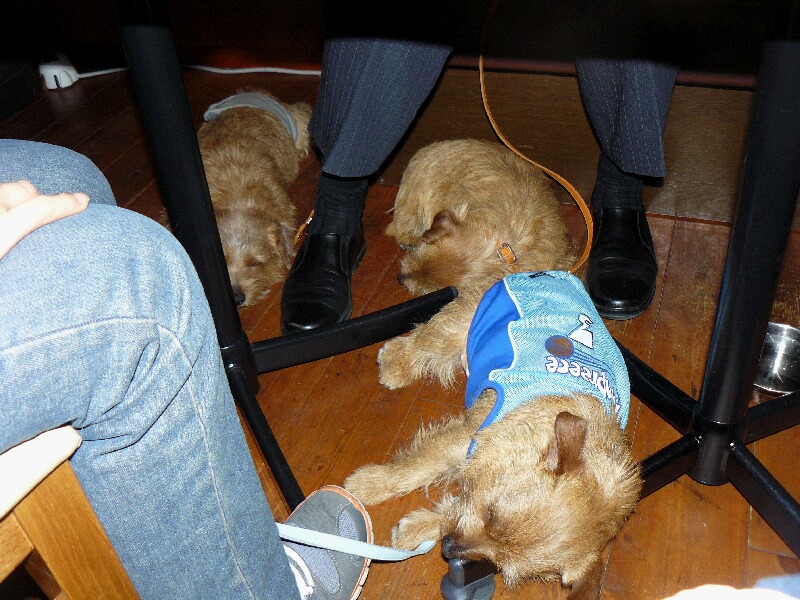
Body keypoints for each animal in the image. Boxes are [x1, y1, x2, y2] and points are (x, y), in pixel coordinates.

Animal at [346, 272, 642, 598]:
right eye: (491, 513)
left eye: (500, 563)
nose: (447, 549)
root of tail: (553, 273)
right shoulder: (465, 439)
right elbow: (415, 468)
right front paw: (366, 485)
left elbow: (454, 506)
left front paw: (416, 528)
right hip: (464, 322)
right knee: (424, 339)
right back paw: (394, 365)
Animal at [377, 138, 573, 389]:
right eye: (423, 250)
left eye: (428, 290)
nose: (399, 278)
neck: (502, 249)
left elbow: (440, 330)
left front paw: (397, 363)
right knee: (402, 225)